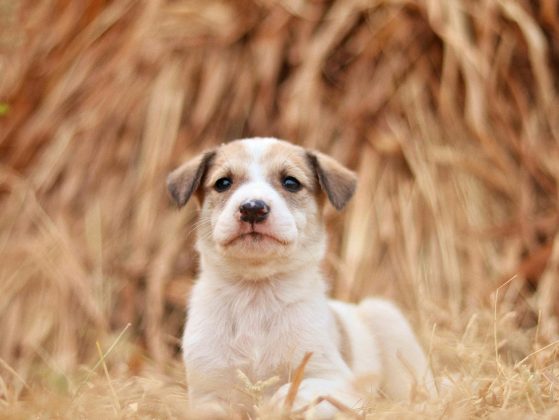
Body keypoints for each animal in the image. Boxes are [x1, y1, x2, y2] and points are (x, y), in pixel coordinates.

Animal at [166, 138, 438, 416]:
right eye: (223, 183)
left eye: (291, 182)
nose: (253, 209)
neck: (256, 294)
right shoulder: (207, 393)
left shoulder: (335, 380)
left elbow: (299, 390)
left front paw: (277, 405)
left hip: (387, 322)